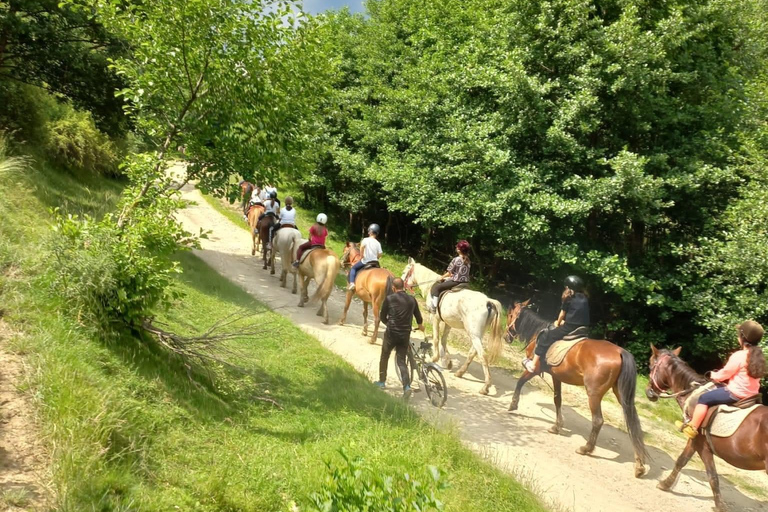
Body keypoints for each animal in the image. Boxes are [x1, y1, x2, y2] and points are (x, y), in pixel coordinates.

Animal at [402, 256, 504, 396]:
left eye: (405, 272)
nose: (401, 283)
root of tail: (488, 301)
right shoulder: (448, 322)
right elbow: (444, 340)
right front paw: (447, 361)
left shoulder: (435, 318)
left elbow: (436, 338)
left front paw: (435, 358)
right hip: (477, 333)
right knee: (473, 352)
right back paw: (460, 372)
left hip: (473, 333)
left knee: (482, 355)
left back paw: (485, 387)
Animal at [508, 302, 652, 478]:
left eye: (510, 315)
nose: (506, 336)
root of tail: (620, 352)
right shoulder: (556, 376)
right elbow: (557, 399)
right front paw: (557, 426)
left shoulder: (535, 369)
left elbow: (520, 382)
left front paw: (513, 404)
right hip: (622, 394)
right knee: (633, 425)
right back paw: (639, 466)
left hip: (594, 394)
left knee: (598, 421)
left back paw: (586, 448)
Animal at [644, 344, 768, 512]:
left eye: (651, 366)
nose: (649, 393)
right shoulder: (699, 443)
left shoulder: (699, 442)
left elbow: (704, 472)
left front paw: (665, 484)